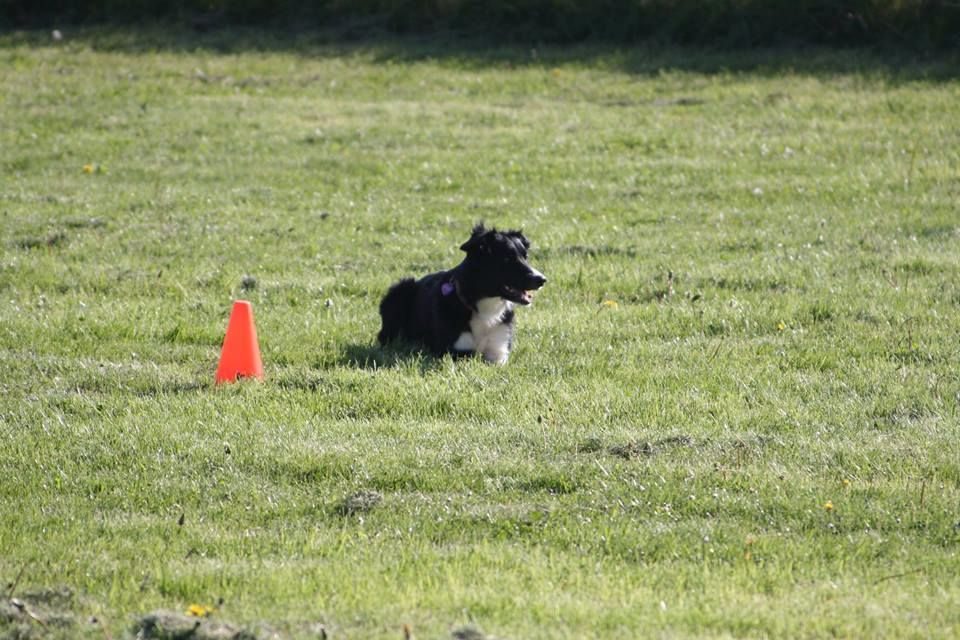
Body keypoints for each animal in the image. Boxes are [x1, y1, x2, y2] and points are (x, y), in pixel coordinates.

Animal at [380, 225, 548, 364]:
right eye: (507, 259)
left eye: (525, 257)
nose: (542, 279)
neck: (485, 305)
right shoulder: (457, 352)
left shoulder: (498, 352)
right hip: (400, 290)